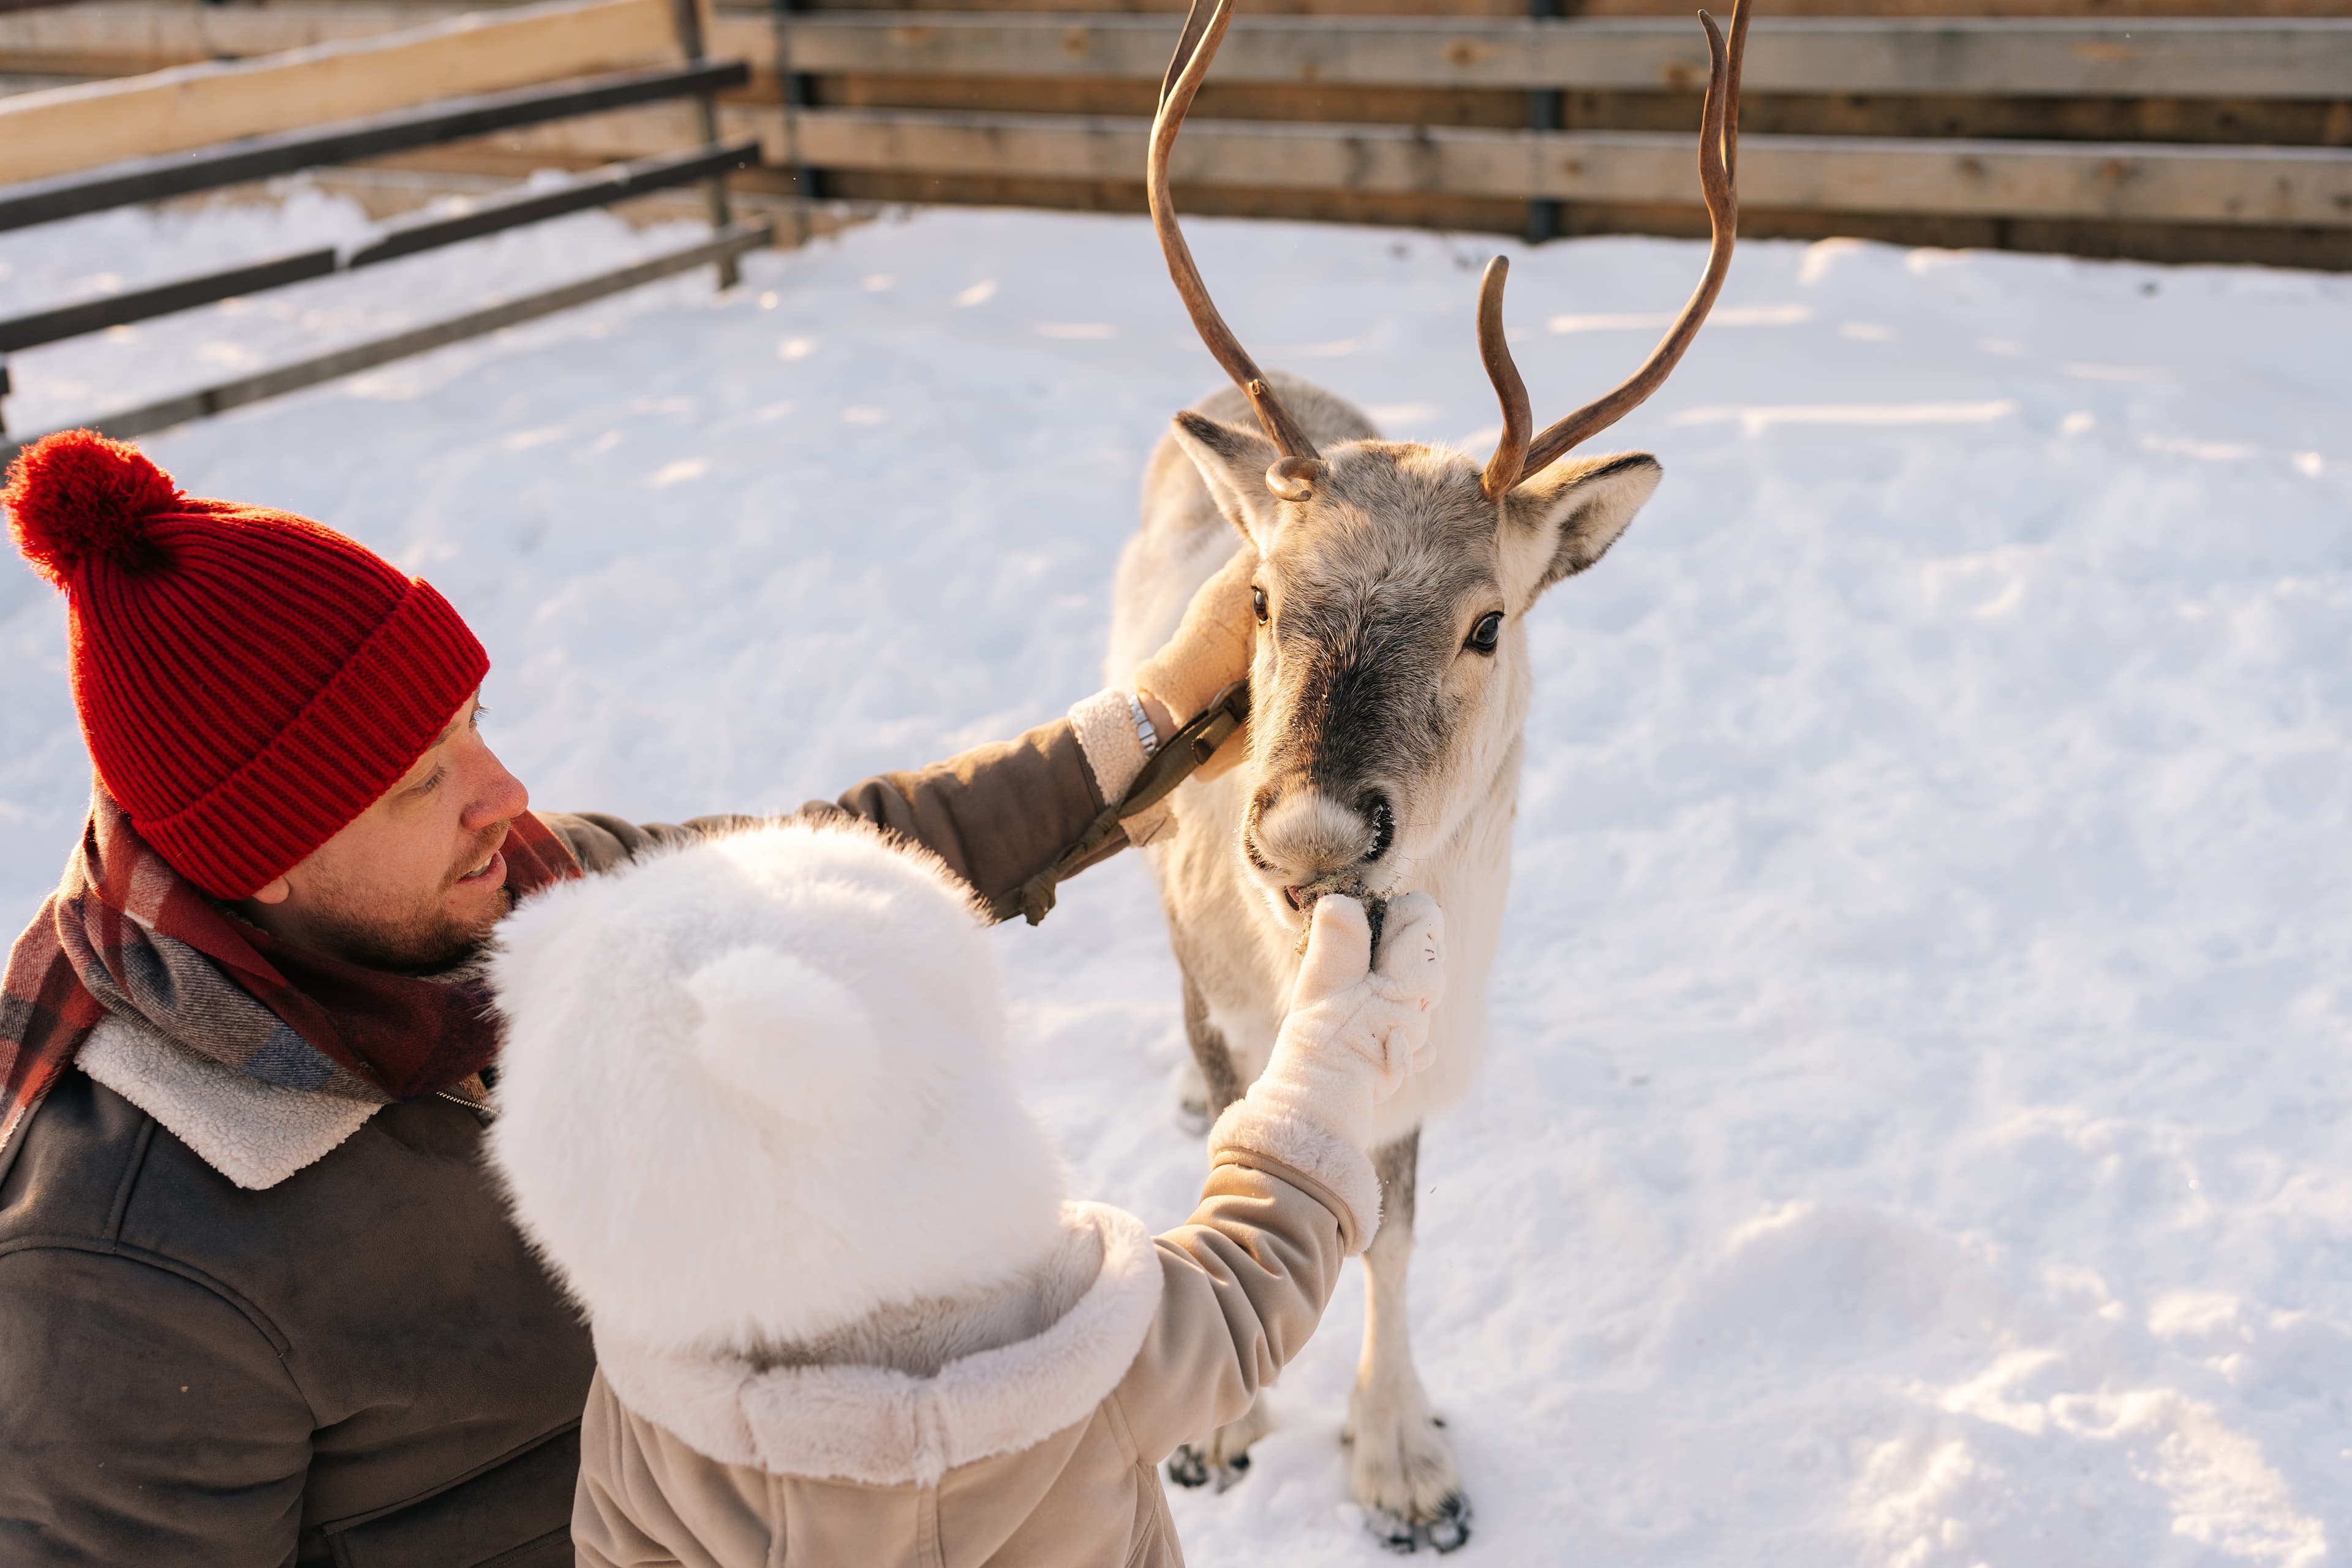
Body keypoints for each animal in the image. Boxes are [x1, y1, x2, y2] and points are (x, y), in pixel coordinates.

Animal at [1101, 0, 1750, 1551]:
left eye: (1488, 621)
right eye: (1262, 598)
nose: (1311, 835)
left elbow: (1391, 1235)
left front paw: (1399, 1459)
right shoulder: (1231, 992)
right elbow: (1242, 1153)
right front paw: (1221, 1427)